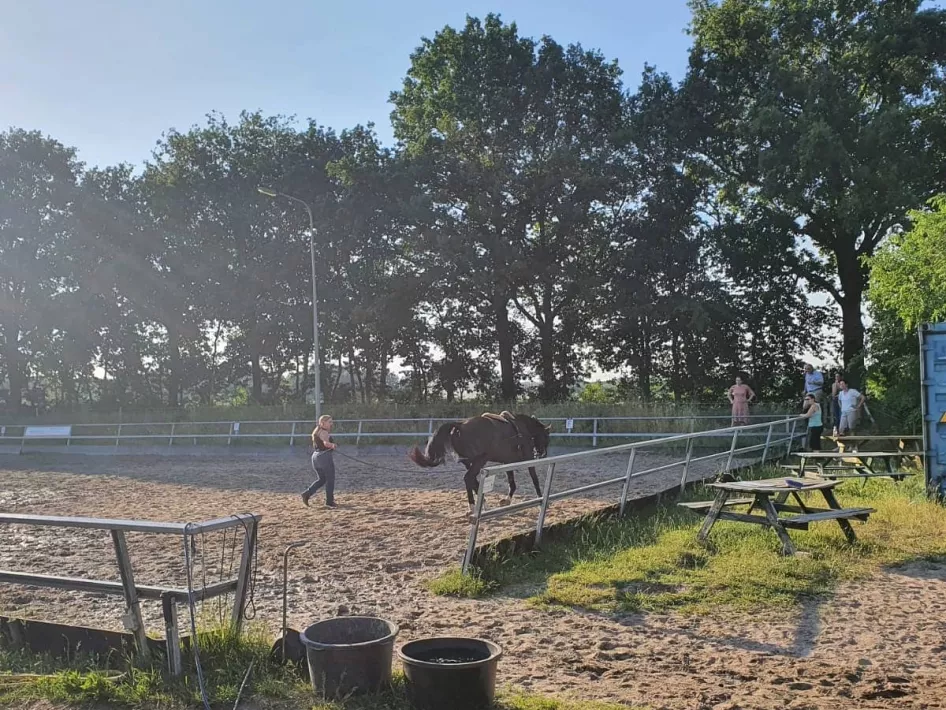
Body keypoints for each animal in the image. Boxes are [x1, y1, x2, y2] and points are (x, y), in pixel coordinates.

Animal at [409, 411, 551, 513]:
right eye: (546, 437)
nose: (542, 454)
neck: (522, 429)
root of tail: (460, 425)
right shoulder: (528, 460)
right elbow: (534, 479)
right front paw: (541, 500)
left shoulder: (507, 462)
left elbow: (512, 483)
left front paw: (506, 501)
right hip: (479, 461)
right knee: (468, 479)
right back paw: (474, 506)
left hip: (470, 462)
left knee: (472, 481)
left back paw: (483, 505)